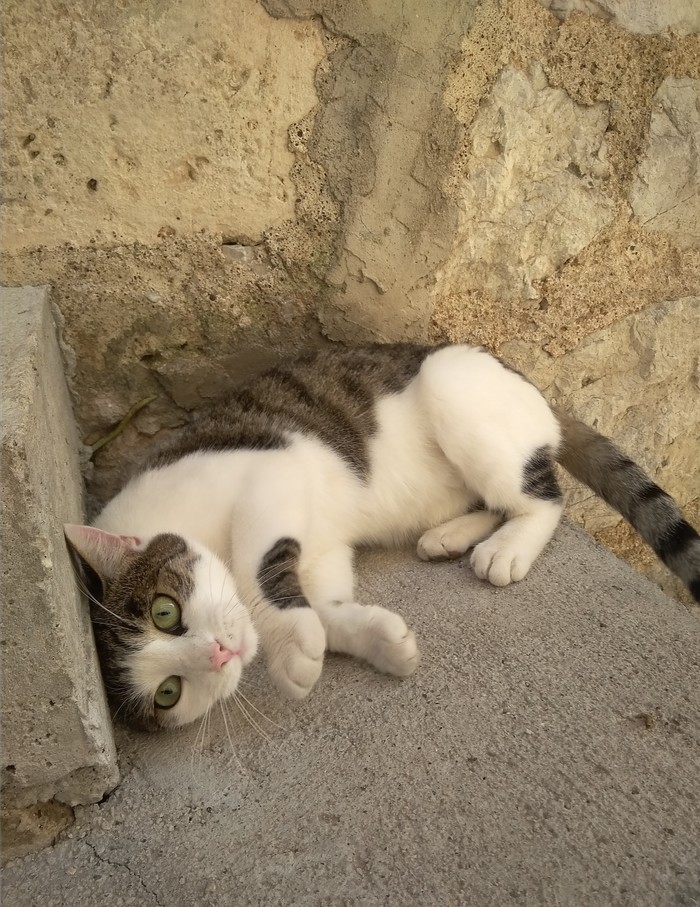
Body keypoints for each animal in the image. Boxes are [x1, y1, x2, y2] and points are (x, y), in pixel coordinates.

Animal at [65, 344, 700, 736]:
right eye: (169, 693)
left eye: (165, 612)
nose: (219, 654)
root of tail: (528, 384)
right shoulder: (321, 553)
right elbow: (325, 606)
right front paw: (374, 640)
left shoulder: (271, 470)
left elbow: (256, 564)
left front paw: (292, 648)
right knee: (492, 501)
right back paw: (450, 535)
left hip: (451, 386)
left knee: (543, 500)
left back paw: (508, 547)